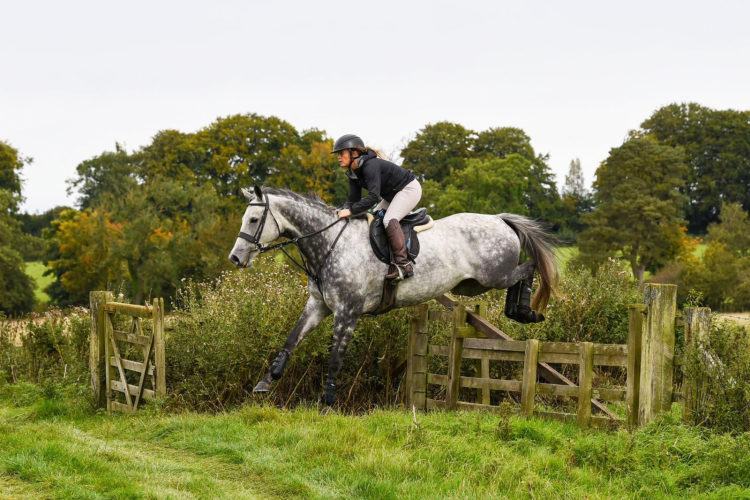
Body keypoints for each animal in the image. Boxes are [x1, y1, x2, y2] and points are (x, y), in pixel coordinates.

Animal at [228, 185, 558, 408]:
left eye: (254, 219)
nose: (235, 258)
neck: (329, 242)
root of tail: (500, 219)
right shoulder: (319, 306)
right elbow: (292, 339)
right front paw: (265, 381)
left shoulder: (348, 312)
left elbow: (335, 359)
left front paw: (328, 402)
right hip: (471, 285)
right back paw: (520, 310)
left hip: (493, 275)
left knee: (528, 268)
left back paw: (524, 311)